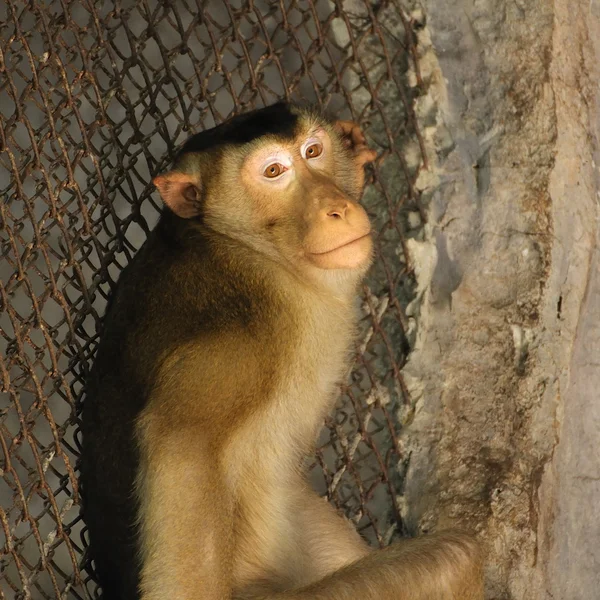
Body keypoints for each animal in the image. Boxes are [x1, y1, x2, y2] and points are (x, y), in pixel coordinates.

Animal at [79, 103, 482, 600]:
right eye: (273, 172)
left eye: (313, 151)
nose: (336, 207)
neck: (250, 250)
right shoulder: (234, 347)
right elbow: (180, 446)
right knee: (456, 557)